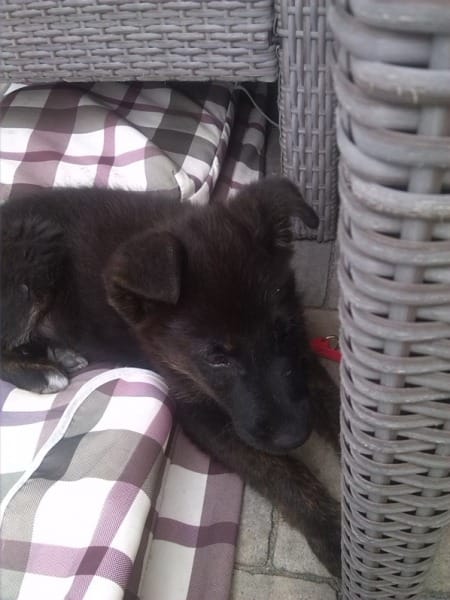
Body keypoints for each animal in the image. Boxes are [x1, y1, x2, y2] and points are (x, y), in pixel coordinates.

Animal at [0, 177, 341, 576]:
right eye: (216, 358)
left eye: (281, 330)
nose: (295, 435)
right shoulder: (199, 412)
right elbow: (281, 473)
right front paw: (334, 536)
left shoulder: (299, 361)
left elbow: (341, 409)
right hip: (34, 252)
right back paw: (43, 374)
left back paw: (58, 353)